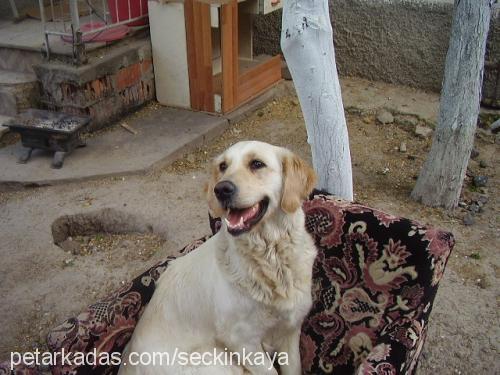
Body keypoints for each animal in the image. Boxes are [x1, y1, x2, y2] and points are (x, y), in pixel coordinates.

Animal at [119, 142, 316, 375]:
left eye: (257, 164)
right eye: (223, 166)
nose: (221, 189)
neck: (270, 258)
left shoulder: (291, 329)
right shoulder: (242, 342)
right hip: (219, 360)